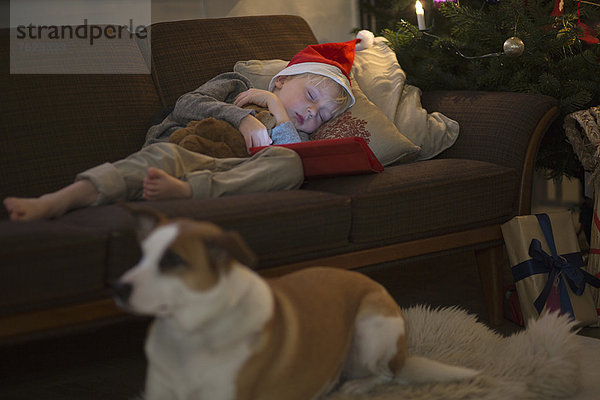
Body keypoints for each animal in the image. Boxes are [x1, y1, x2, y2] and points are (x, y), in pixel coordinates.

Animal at [113, 208, 478, 398]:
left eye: (173, 260)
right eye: (141, 255)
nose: (117, 287)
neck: (188, 337)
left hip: (370, 327)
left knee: (385, 376)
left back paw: (354, 387)